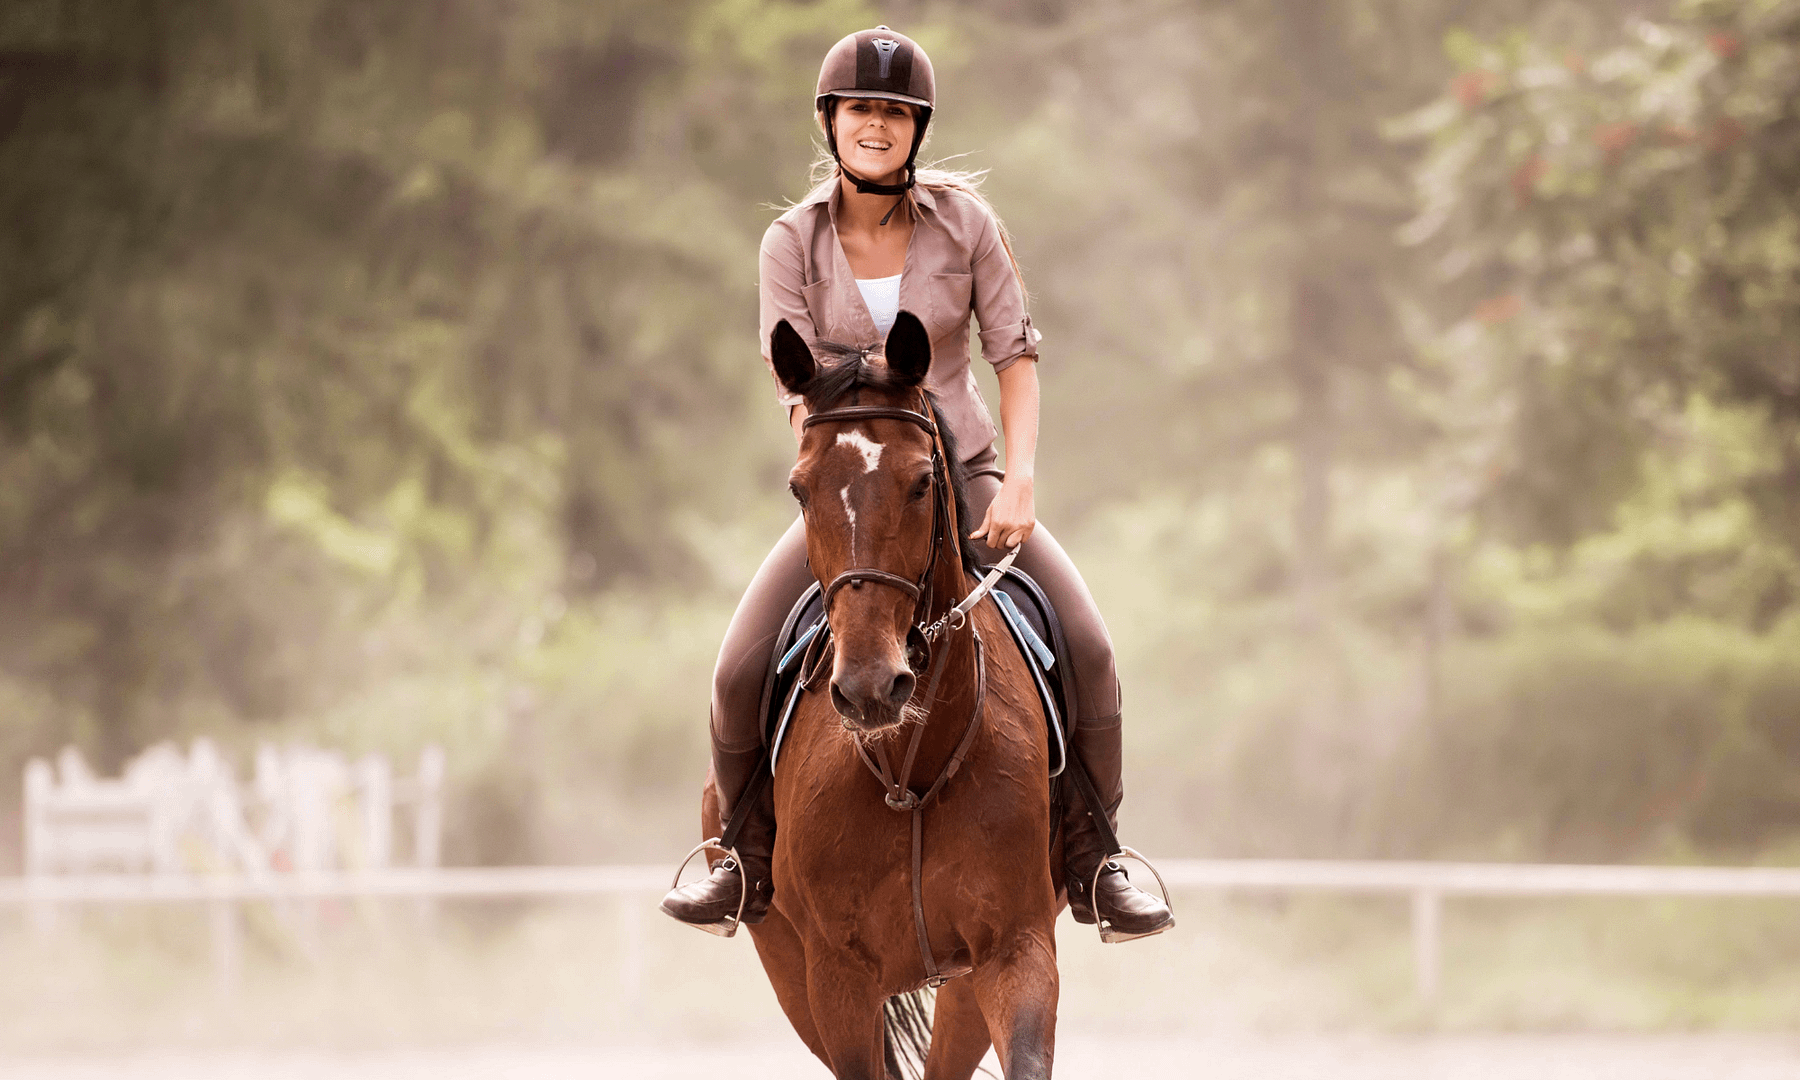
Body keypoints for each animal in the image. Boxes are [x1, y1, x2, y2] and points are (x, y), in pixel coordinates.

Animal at [698, 311, 1062, 1079]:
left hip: (962, 984)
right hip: (789, 969)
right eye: (800, 489)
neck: (911, 773)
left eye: (923, 483)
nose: (871, 688)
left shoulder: (1016, 950)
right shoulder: (836, 978)